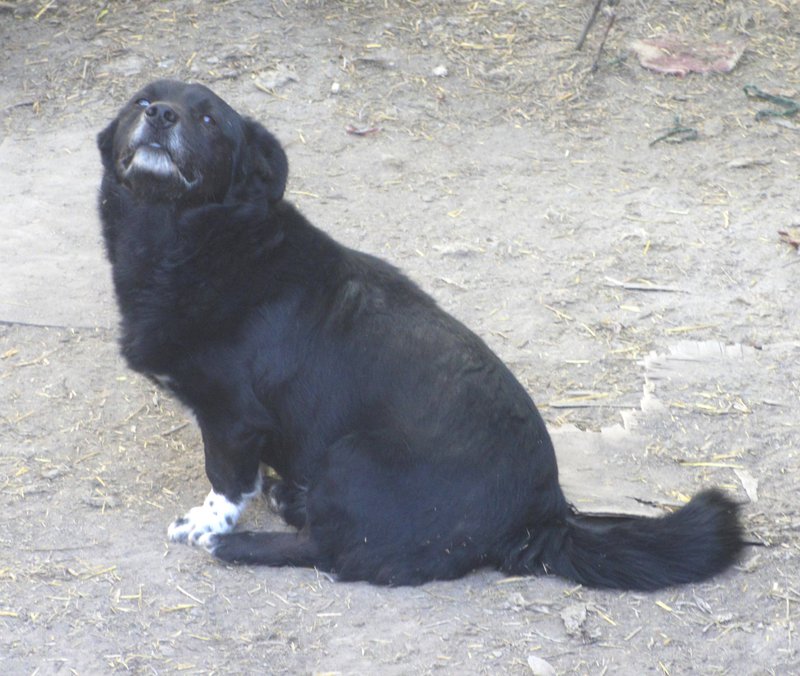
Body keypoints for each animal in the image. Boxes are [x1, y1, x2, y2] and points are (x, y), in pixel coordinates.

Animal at [98, 78, 744, 588]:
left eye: (209, 118)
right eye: (141, 100)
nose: (161, 115)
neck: (188, 240)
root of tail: (541, 518)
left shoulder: (233, 418)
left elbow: (227, 482)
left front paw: (206, 523)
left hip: (351, 455)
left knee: (337, 552)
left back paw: (239, 545)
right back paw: (290, 498)